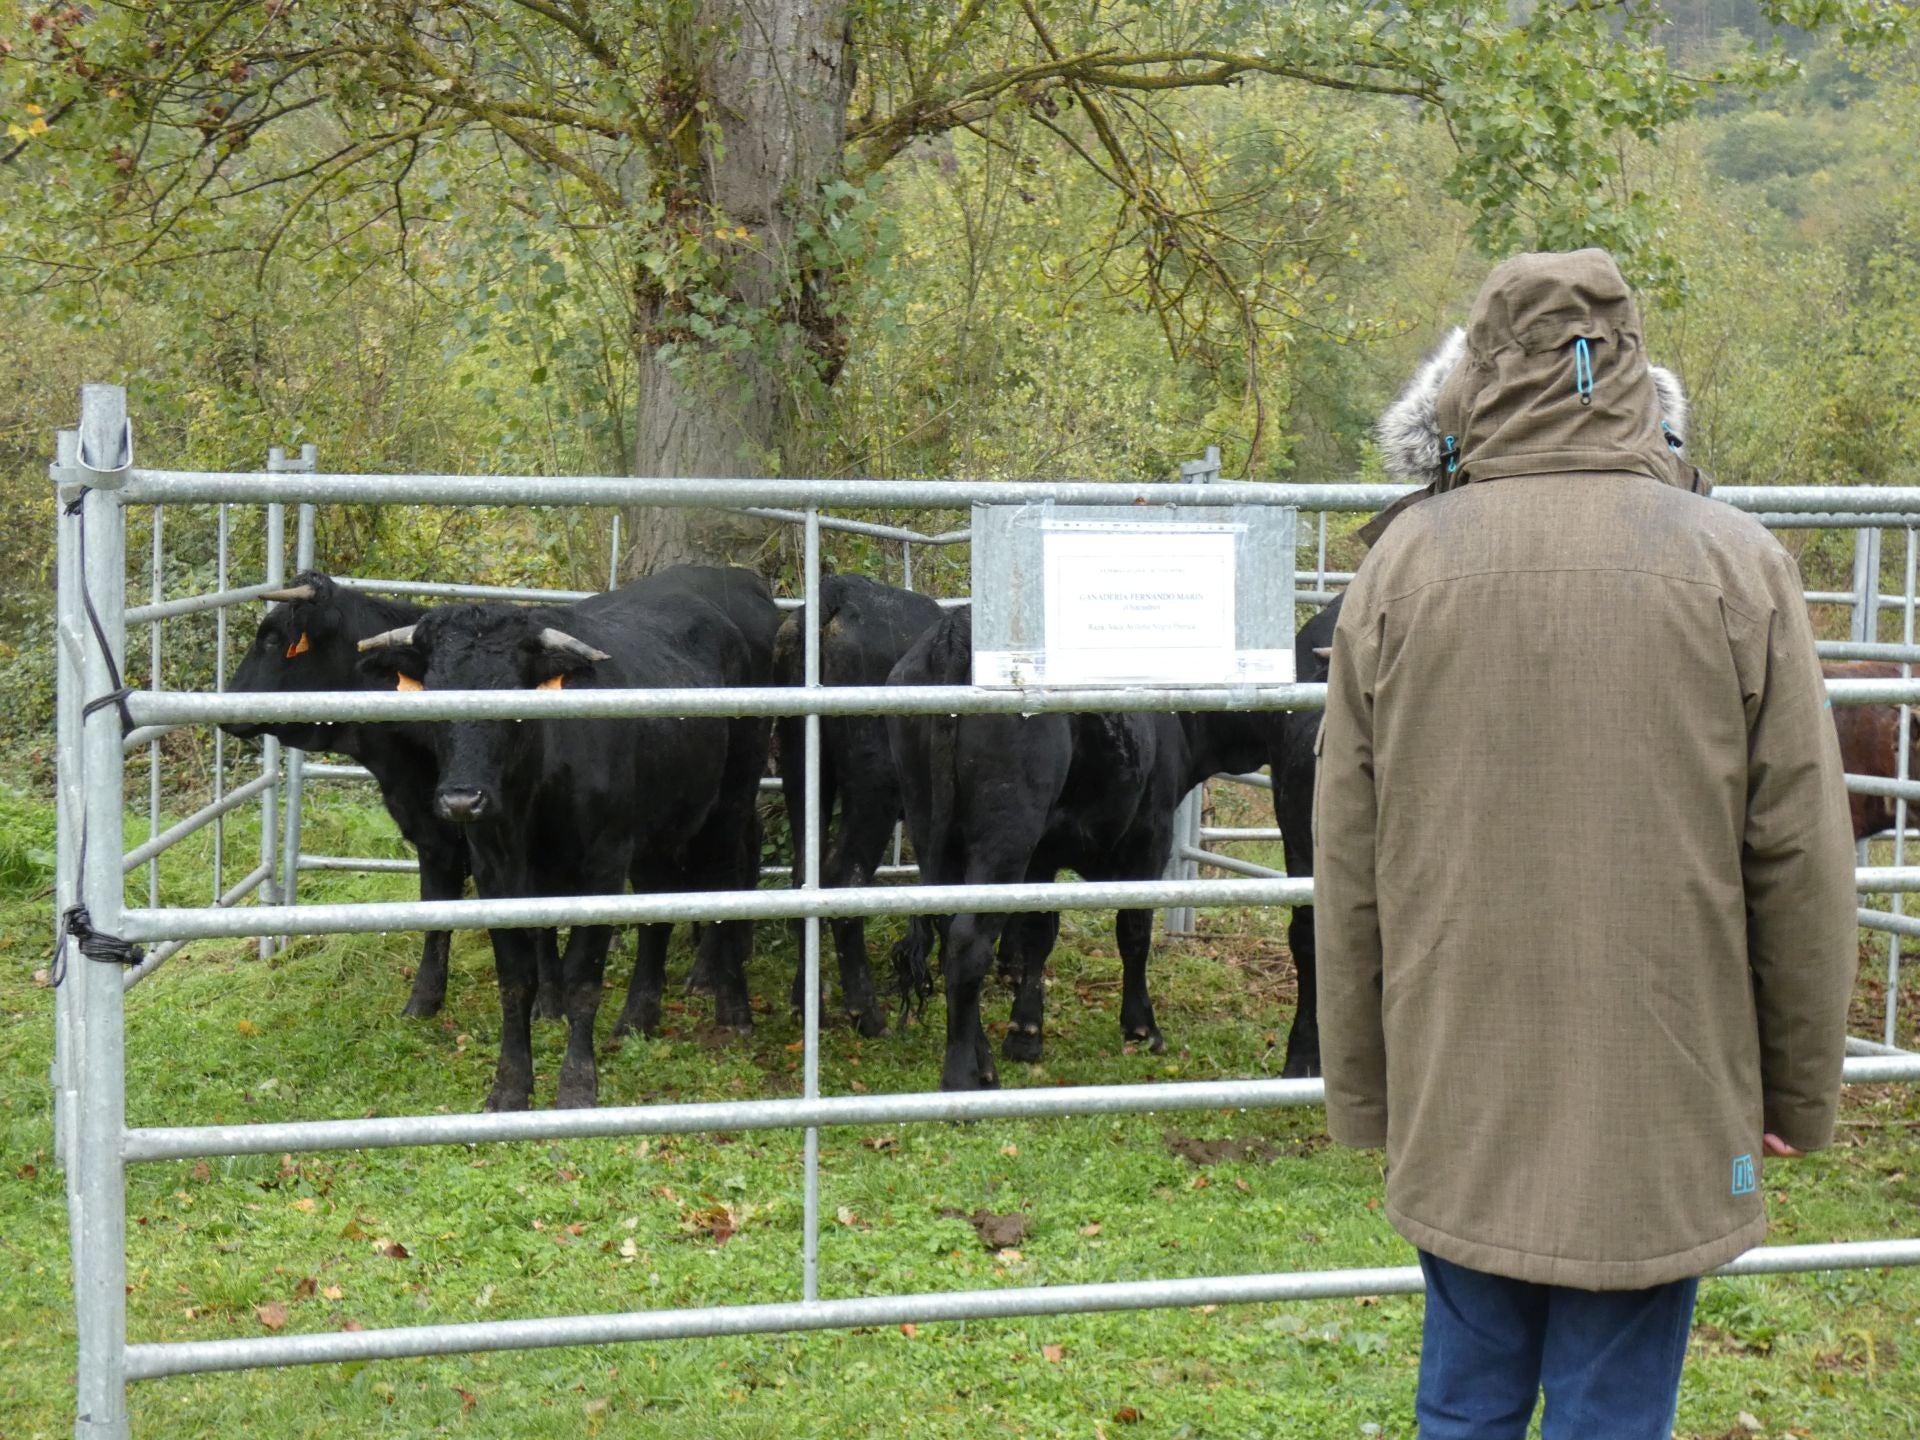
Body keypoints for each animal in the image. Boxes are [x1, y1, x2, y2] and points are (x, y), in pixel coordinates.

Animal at [360, 568, 771, 1113]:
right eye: (434, 696)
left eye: (514, 697)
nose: (462, 800)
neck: (531, 802)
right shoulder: (495, 874)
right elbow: (515, 980)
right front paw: (510, 1086)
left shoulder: (602, 868)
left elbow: (583, 979)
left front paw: (577, 1084)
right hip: (654, 832)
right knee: (658, 909)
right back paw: (638, 1017)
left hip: (730, 799)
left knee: (728, 882)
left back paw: (734, 1009)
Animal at [768, 576, 940, 1036]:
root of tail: (840, 591)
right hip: (875, 787)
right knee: (844, 876)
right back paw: (867, 1014)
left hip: (802, 770)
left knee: (804, 873)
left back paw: (805, 1003)